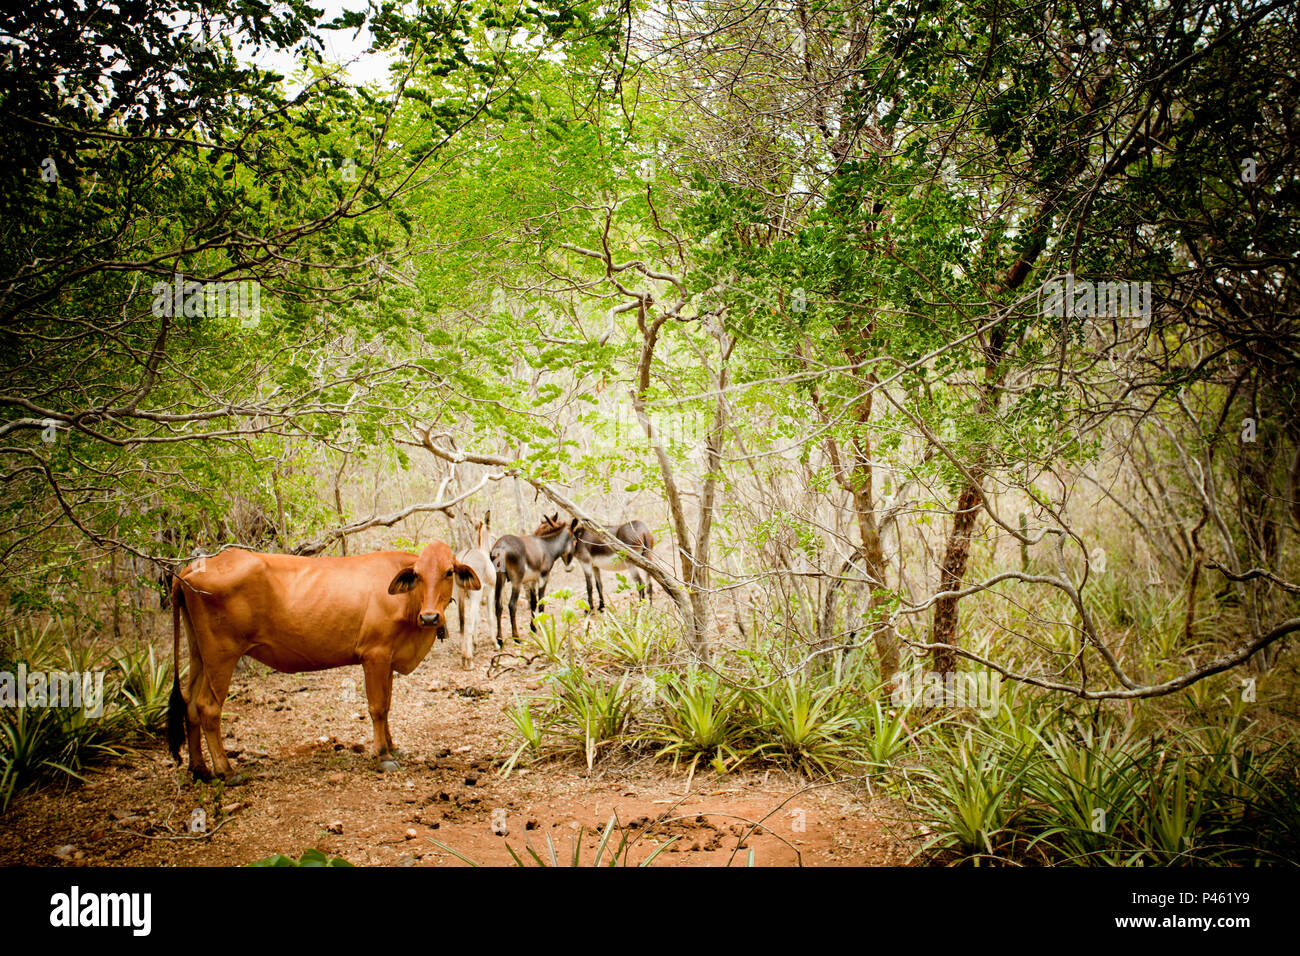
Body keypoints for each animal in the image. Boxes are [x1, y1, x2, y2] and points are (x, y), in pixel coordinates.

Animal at [167, 541, 480, 780]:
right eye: (417, 575)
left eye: (449, 572)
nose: (430, 618)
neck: (408, 603)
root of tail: (190, 569)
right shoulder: (375, 655)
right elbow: (378, 707)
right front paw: (383, 755)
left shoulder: (388, 659)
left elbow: (388, 705)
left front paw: (393, 746)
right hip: (222, 655)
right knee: (207, 707)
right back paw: (226, 770)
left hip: (199, 654)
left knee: (189, 704)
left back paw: (199, 769)